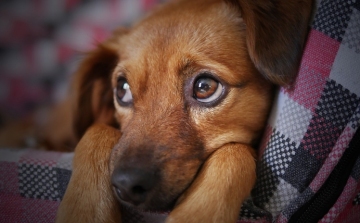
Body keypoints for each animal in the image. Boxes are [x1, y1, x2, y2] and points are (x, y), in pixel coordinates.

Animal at [54, 0, 312, 222]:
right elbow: (97, 130)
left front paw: (196, 214)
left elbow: (235, 151)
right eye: (122, 89)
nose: (126, 185)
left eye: (205, 87)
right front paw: (84, 211)